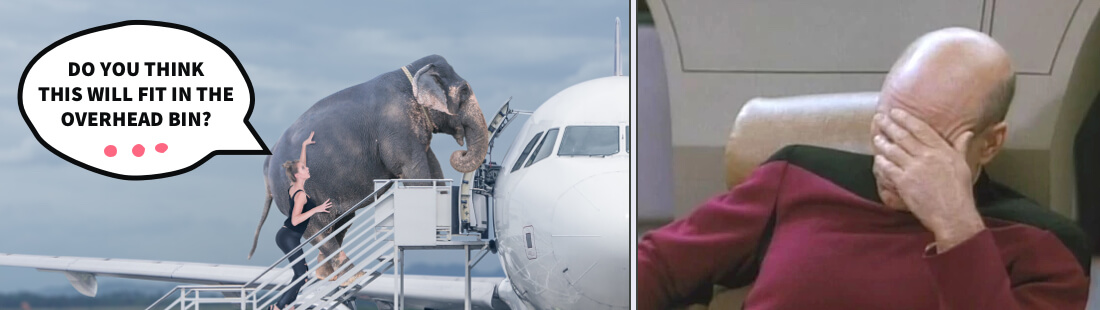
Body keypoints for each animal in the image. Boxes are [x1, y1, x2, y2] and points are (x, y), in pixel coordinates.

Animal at [249, 55, 490, 281]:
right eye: (465, 90)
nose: (460, 152)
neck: (410, 73)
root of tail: (267, 167)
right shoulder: (396, 128)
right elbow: (413, 171)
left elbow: (433, 165)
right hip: (293, 193)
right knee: (319, 230)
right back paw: (352, 277)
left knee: (340, 222)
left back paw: (327, 275)